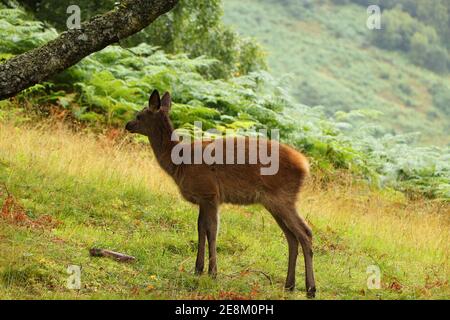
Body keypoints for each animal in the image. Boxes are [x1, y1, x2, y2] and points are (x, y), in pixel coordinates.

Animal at [125, 89, 316, 298]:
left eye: (139, 115)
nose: (127, 125)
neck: (179, 164)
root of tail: (304, 166)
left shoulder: (209, 193)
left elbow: (212, 230)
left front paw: (212, 272)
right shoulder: (204, 199)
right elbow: (200, 228)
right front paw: (198, 269)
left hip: (282, 198)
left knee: (305, 232)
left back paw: (311, 289)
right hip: (275, 202)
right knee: (292, 237)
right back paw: (289, 285)